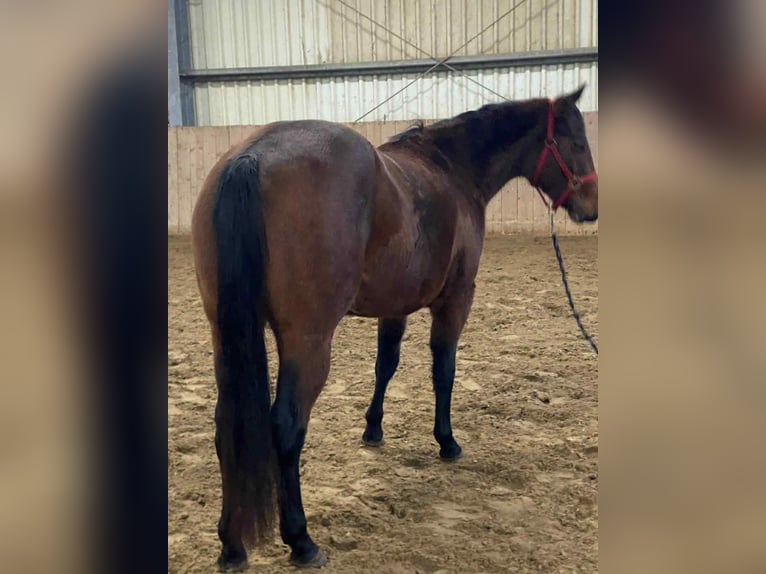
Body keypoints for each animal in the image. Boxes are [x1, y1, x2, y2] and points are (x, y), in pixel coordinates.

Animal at [191, 85, 598, 570]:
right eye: (577, 141)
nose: (591, 208)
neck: (452, 169)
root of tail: (251, 155)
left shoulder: (395, 305)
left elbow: (385, 365)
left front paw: (373, 430)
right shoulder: (456, 299)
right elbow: (444, 370)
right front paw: (447, 442)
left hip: (224, 336)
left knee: (225, 426)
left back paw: (231, 545)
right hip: (307, 342)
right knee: (286, 428)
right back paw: (301, 540)